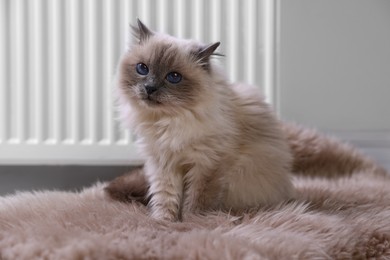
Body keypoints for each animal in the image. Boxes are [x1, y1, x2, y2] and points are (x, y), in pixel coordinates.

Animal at [114, 19, 294, 220]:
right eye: (142, 68)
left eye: (174, 77)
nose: (150, 88)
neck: (169, 121)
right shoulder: (164, 164)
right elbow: (165, 198)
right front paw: (163, 221)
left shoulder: (207, 165)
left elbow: (197, 201)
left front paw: (192, 222)